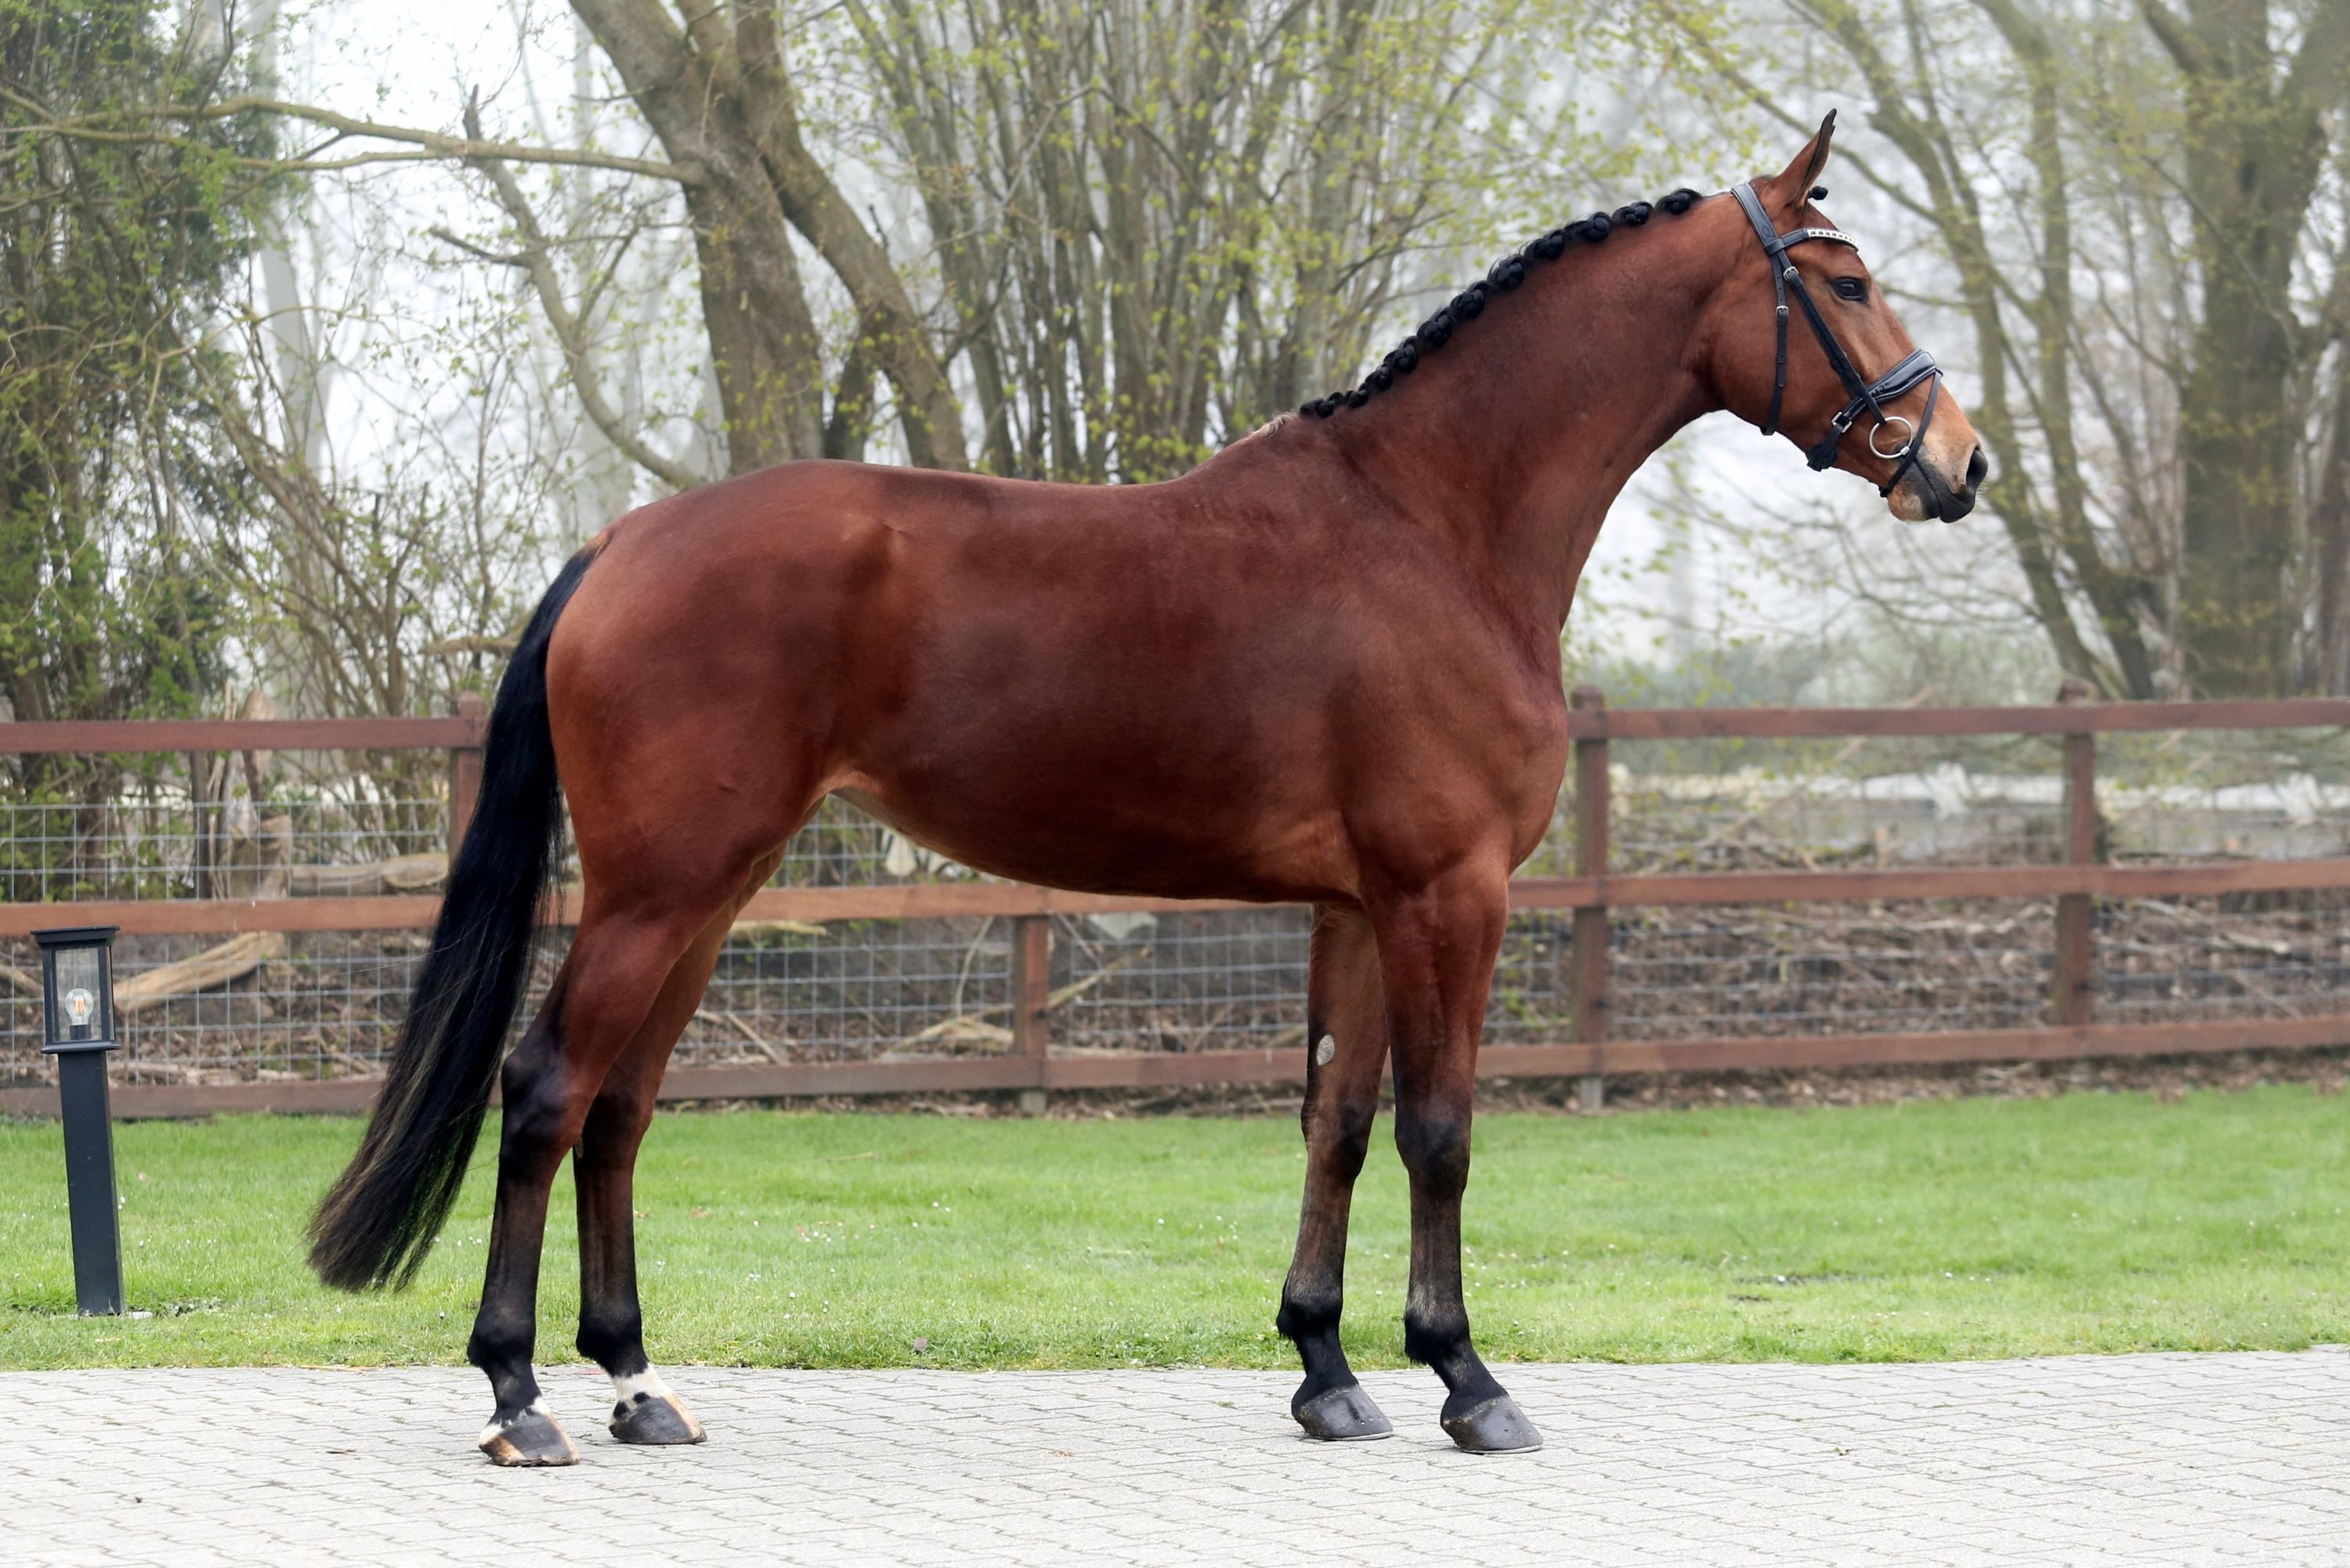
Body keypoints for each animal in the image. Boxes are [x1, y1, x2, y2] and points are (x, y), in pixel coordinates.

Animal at [309, 113, 1984, 1465]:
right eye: (1843, 282)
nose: (1959, 463)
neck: (1433, 527)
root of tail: (621, 544)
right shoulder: (1451, 894)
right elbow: (1440, 1129)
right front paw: (1467, 1378)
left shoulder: (1359, 906)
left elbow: (1336, 1119)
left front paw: (1327, 1369)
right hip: (659, 893)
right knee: (547, 1092)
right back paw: (520, 1397)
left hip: (709, 894)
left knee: (620, 1108)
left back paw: (637, 1384)